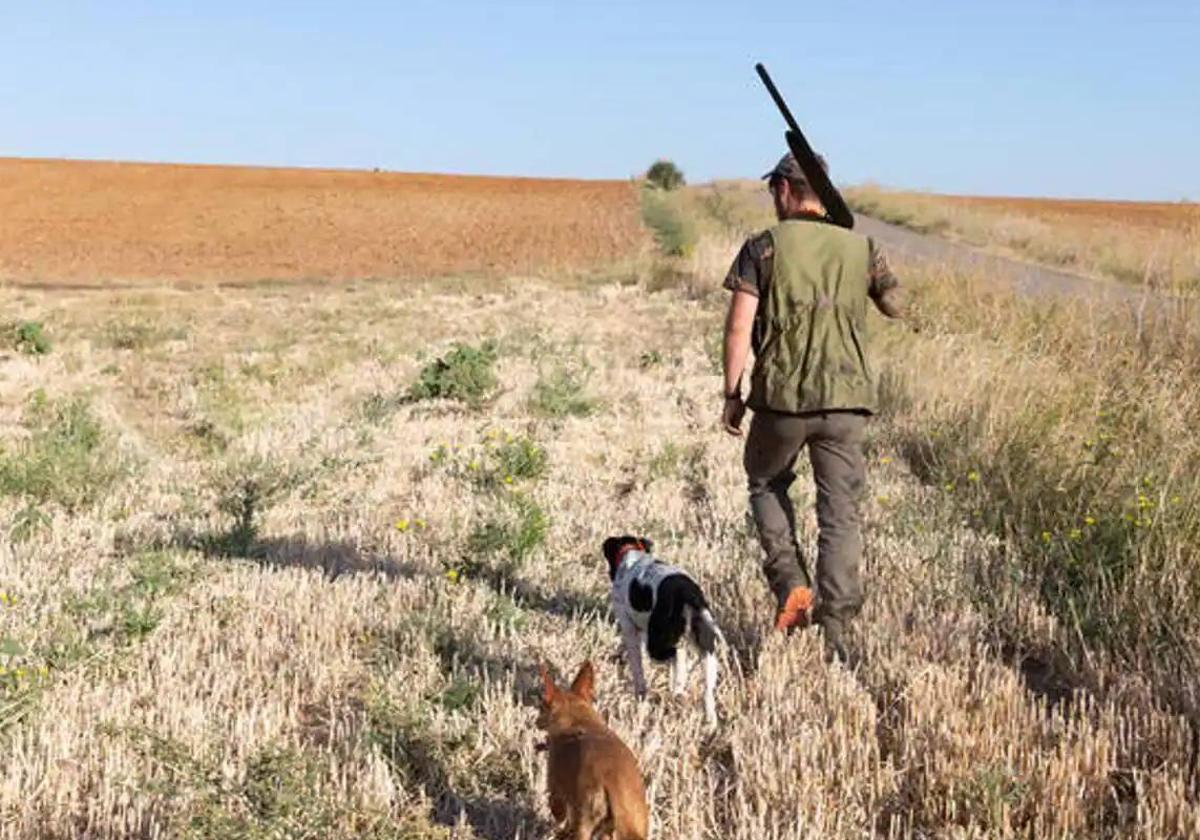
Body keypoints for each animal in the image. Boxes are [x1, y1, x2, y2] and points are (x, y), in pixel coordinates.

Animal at [537, 662, 648, 840]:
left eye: (541, 707)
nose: (536, 721)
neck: (578, 720)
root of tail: (614, 786)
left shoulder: (556, 793)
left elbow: (559, 813)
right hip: (633, 822)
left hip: (584, 821)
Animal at [600, 535, 720, 724]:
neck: (632, 554)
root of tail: (689, 595)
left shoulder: (629, 628)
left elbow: (637, 669)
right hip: (708, 650)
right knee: (707, 691)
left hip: (657, 644)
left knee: (678, 656)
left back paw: (678, 686)